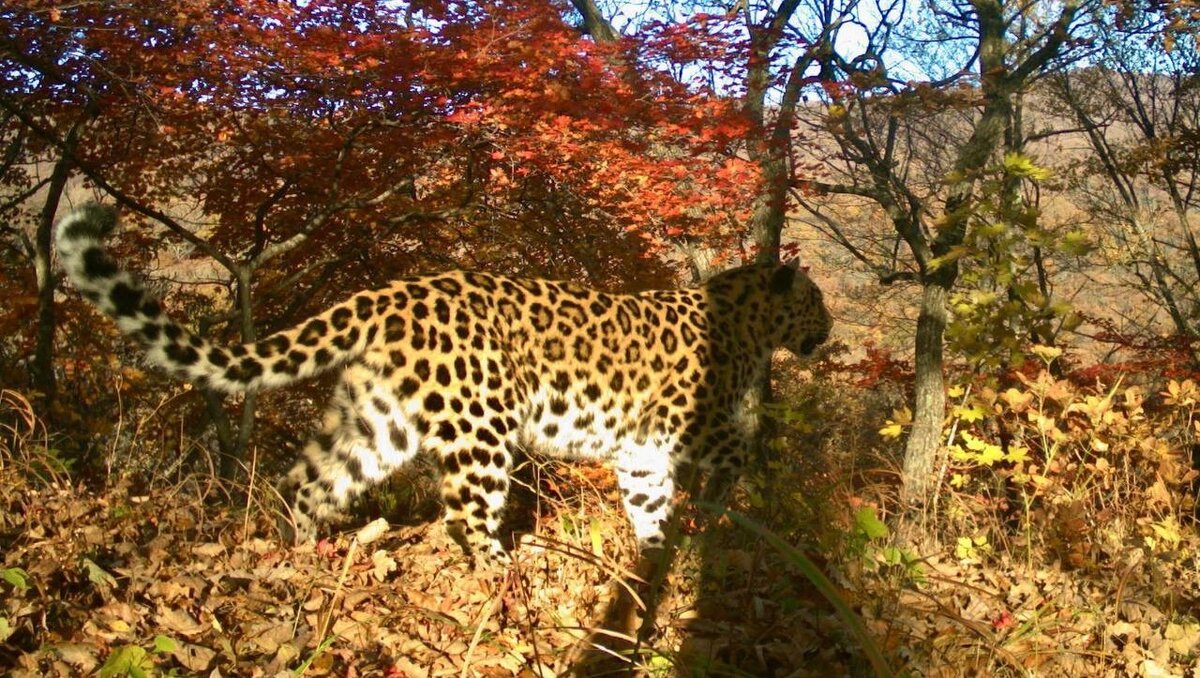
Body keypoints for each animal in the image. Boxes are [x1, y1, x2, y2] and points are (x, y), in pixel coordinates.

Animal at [56, 202, 835, 561]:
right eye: (817, 302)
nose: (829, 331)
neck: (747, 320)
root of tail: (392, 293)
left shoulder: (641, 449)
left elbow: (649, 504)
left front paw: (652, 559)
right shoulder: (681, 419)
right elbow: (737, 447)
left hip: (378, 421)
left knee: (310, 479)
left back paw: (303, 555)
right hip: (480, 426)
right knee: (467, 513)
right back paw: (503, 575)